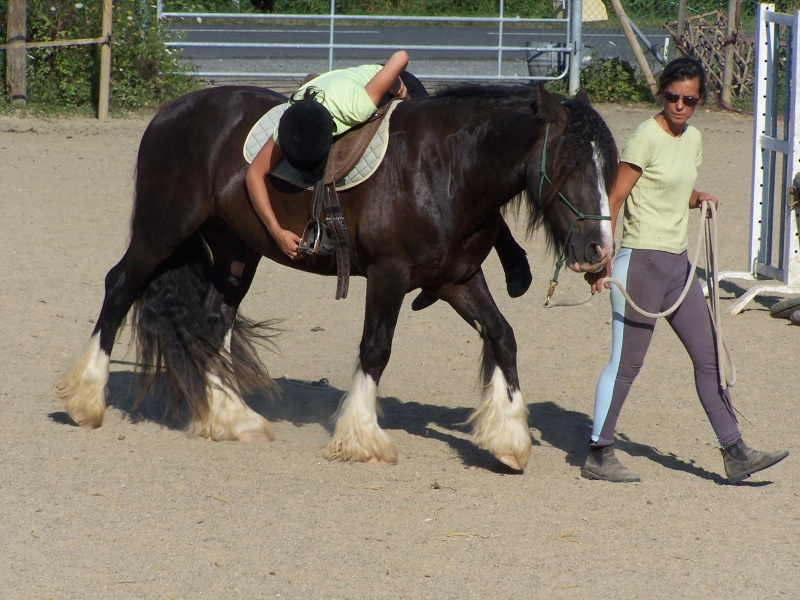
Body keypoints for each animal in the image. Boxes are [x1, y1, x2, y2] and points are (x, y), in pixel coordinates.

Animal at [57, 82, 620, 472]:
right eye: (571, 162)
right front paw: (362, 438)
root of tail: (171, 112)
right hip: (161, 232)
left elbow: (503, 337)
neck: (446, 168)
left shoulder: (457, 279)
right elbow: (375, 350)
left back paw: (230, 417)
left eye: (608, 167)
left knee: (212, 321)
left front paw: (508, 439)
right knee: (119, 287)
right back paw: (86, 399)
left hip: (236, 251)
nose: (600, 250)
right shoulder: (390, 276)